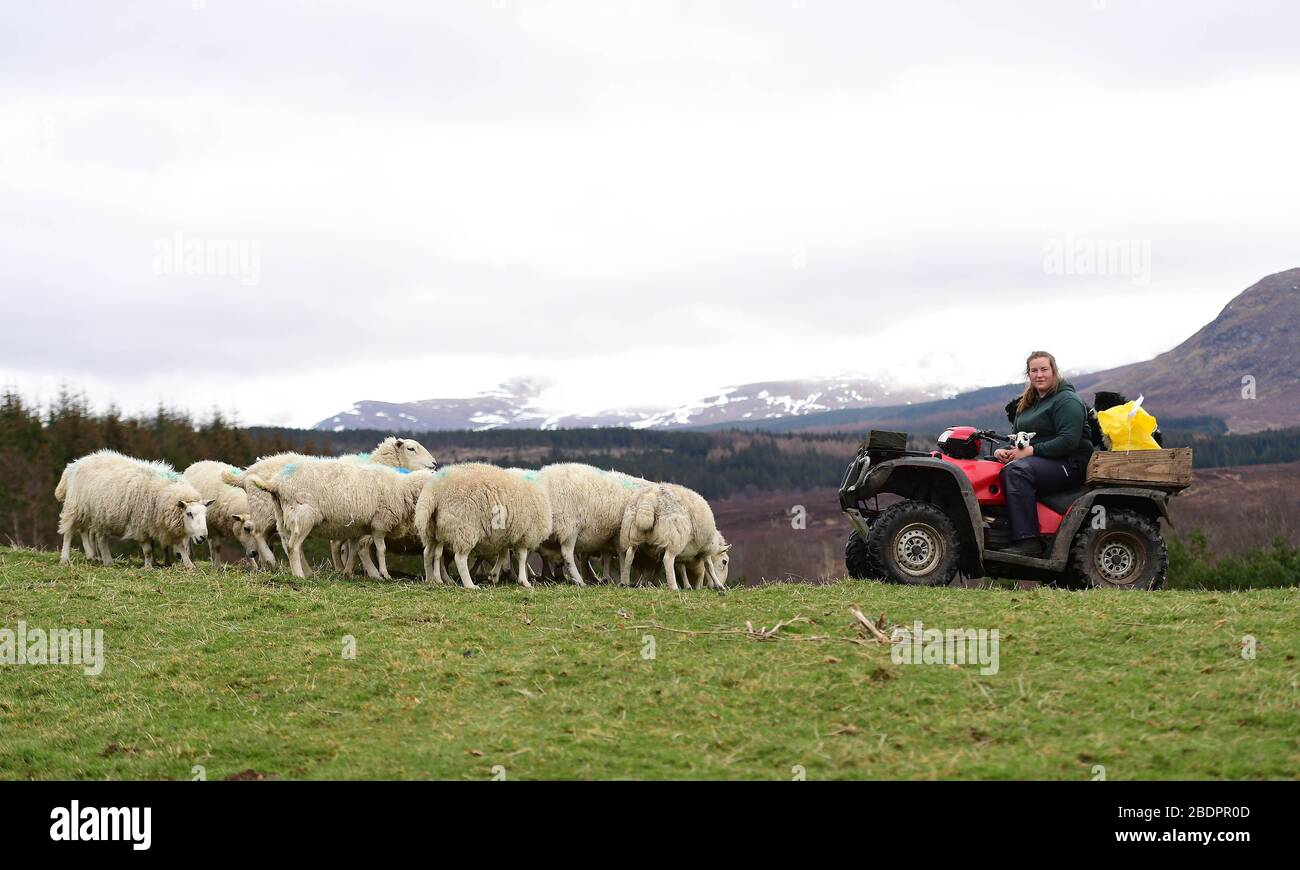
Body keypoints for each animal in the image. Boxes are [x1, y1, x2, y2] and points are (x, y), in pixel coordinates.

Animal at [55, 452, 210, 566]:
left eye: (204, 514)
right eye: (189, 514)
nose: (203, 537)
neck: (163, 492)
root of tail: (75, 464)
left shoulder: (163, 526)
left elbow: (180, 546)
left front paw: (189, 565)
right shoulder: (141, 525)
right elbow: (148, 550)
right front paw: (148, 567)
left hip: (99, 514)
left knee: (97, 537)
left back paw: (104, 560)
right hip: (75, 507)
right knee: (69, 532)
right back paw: (65, 558)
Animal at [416, 460, 553, 590]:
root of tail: (434, 492)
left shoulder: (504, 534)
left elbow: (503, 554)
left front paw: (494, 576)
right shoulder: (526, 533)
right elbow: (522, 558)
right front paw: (524, 581)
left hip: (431, 529)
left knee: (427, 552)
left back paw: (430, 580)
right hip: (464, 529)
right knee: (460, 558)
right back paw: (470, 585)